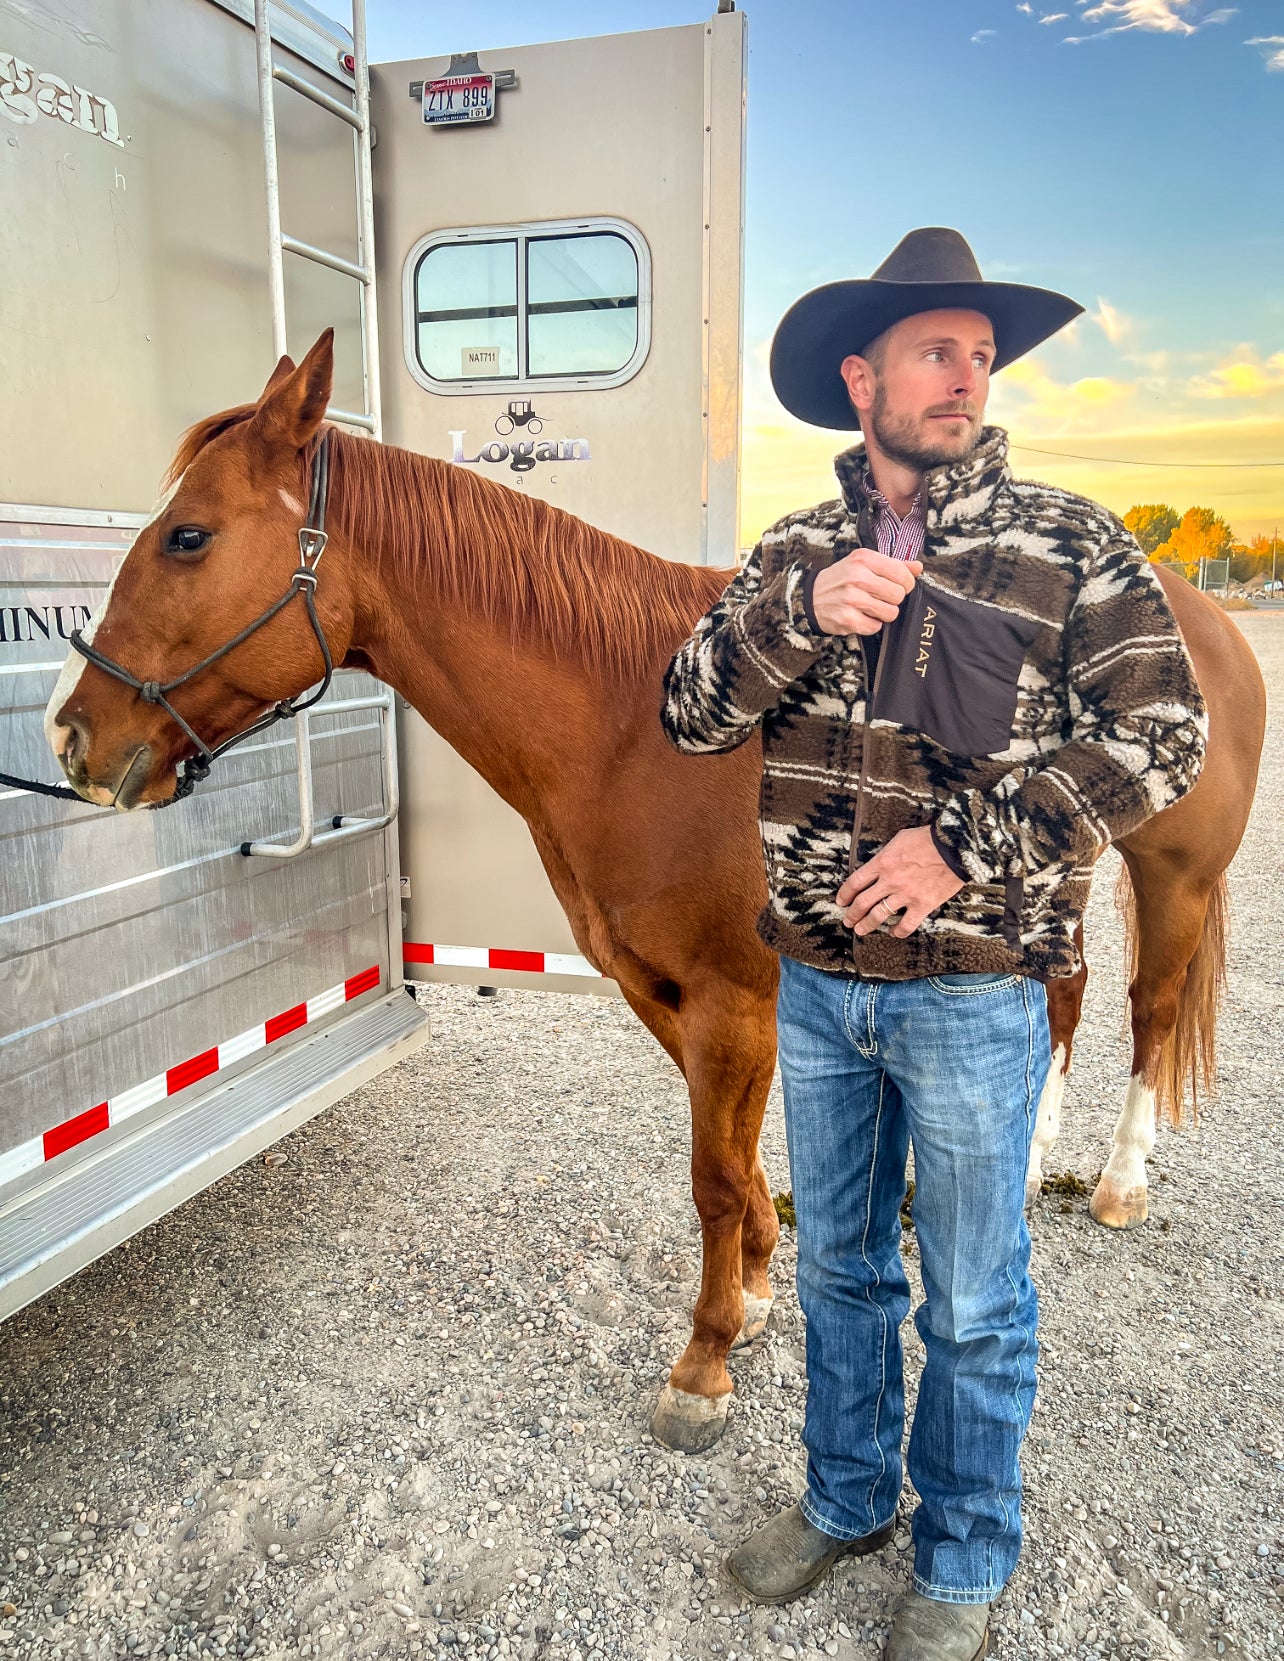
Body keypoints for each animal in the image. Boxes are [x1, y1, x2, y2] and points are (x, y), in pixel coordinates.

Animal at [44, 331, 1265, 1453]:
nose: (71, 733)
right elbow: (735, 1162)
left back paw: (1118, 1181)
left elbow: (715, 1177)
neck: (636, 728)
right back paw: (1024, 1165)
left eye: (188, 535)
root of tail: (1201, 618)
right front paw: (761, 1288)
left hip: (1174, 879)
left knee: (1147, 1008)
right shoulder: (672, 995)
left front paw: (705, 1361)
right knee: (1061, 997)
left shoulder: (735, 1003)